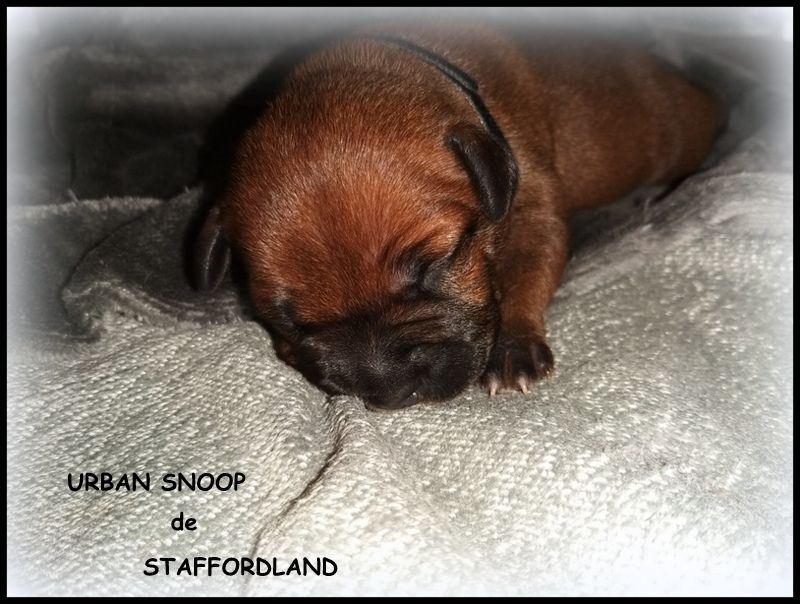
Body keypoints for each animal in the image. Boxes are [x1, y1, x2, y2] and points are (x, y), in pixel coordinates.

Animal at [193, 23, 723, 410]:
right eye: (290, 320)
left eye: (434, 266)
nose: (390, 392)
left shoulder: (533, 208)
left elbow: (527, 272)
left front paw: (513, 349)